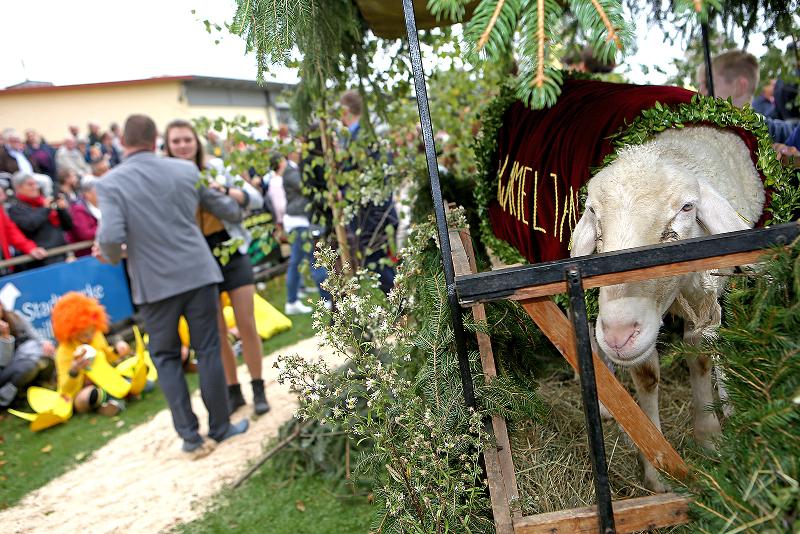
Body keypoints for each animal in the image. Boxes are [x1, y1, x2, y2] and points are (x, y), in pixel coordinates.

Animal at [568, 125, 764, 494]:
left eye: (687, 207)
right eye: (593, 212)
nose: (618, 334)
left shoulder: (703, 301)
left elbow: (701, 357)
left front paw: (709, 435)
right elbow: (647, 377)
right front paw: (656, 468)